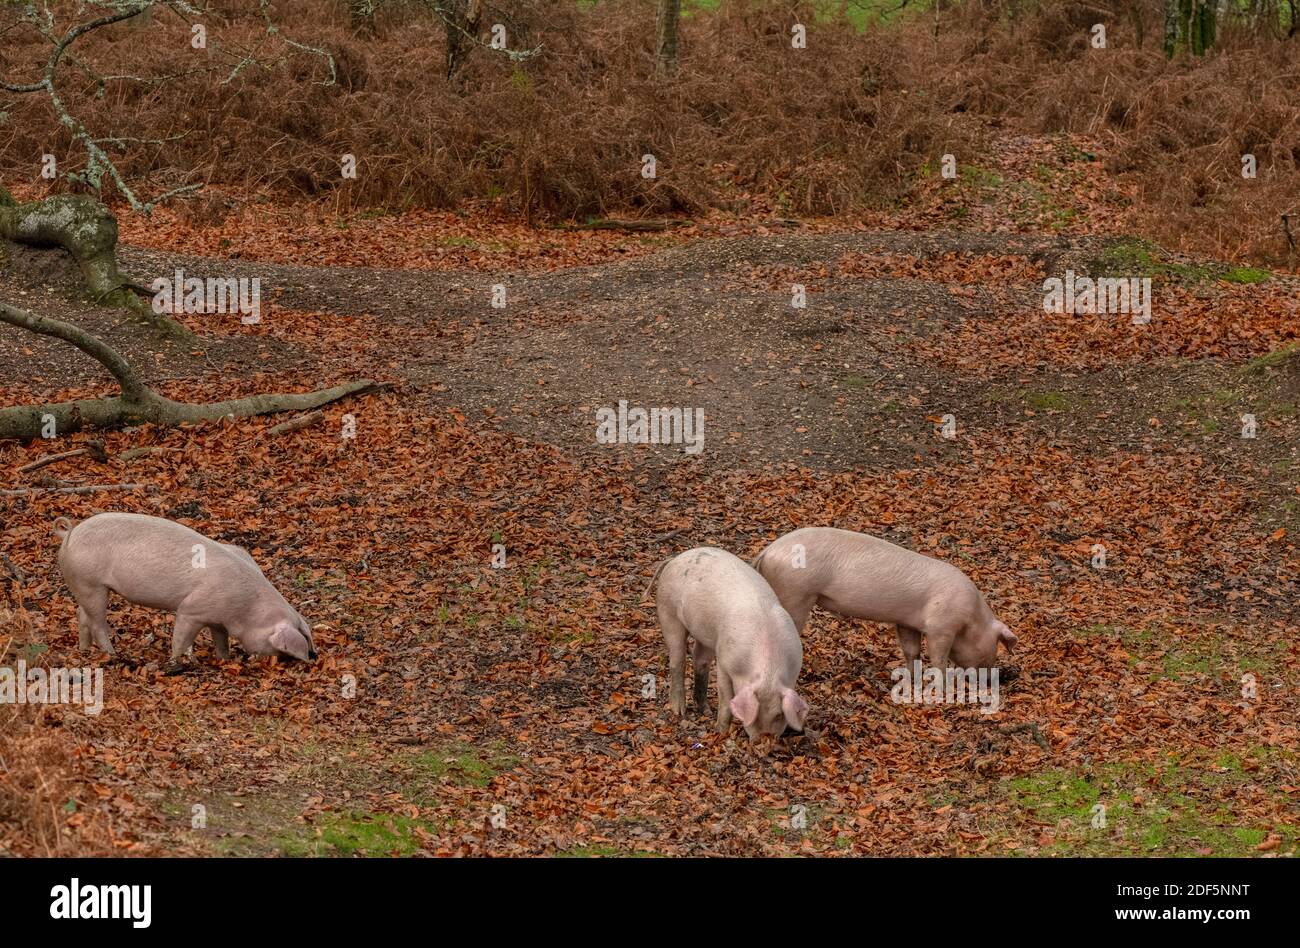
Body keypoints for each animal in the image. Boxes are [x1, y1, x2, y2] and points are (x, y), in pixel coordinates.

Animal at [55, 514, 319, 663]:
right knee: (98, 623)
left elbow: (221, 640)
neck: (246, 607)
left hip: (84, 586)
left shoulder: (217, 619)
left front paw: (224, 660)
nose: (308, 659)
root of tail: (70, 533)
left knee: (82, 615)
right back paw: (113, 655)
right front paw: (177, 662)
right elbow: (181, 637)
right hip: (91, 584)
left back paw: (84, 650)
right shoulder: (192, 610)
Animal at [647, 546, 806, 738]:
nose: (763, 739)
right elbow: (725, 696)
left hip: (707, 634)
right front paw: (721, 731)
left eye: (778, 715)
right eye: (754, 714)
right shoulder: (724, 662)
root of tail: (675, 559)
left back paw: (706, 710)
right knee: (677, 661)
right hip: (668, 612)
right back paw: (680, 711)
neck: (767, 668)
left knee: (699, 658)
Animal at [754, 525, 1013, 671]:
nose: (991, 673)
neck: (971, 619)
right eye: (996, 643)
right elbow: (938, 657)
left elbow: (911, 652)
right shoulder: (941, 627)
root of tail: (768, 551)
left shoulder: (907, 623)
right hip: (796, 593)